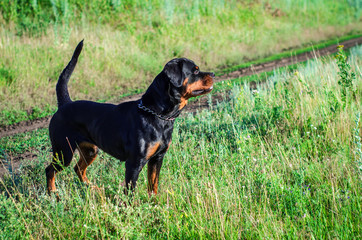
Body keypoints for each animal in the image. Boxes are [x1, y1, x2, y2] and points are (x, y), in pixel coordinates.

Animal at [45, 39, 215, 197]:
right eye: (195, 71)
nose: (213, 74)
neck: (158, 115)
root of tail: (65, 104)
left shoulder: (157, 158)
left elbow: (153, 184)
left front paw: (154, 203)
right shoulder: (134, 163)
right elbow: (130, 191)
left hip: (90, 150)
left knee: (78, 168)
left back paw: (91, 188)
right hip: (63, 152)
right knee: (50, 170)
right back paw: (52, 193)